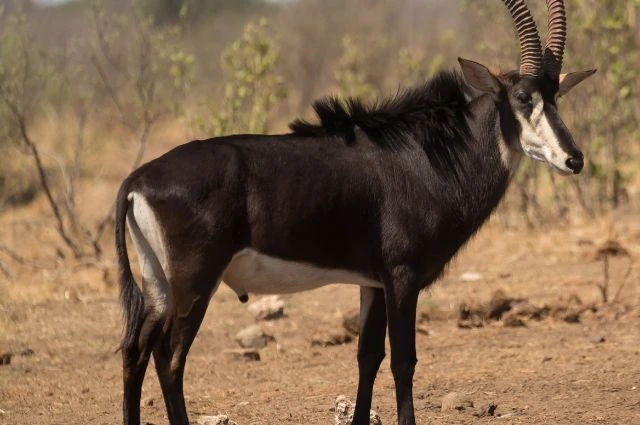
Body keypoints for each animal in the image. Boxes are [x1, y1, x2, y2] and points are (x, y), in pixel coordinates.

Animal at [114, 0, 596, 424]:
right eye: (522, 97)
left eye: (555, 96)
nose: (573, 159)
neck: (430, 154)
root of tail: (138, 179)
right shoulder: (402, 276)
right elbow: (403, 359)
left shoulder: (373, 282)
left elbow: (368, 355)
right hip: (195, 283)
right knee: (170, 358)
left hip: (159, 284)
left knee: (136, 350)